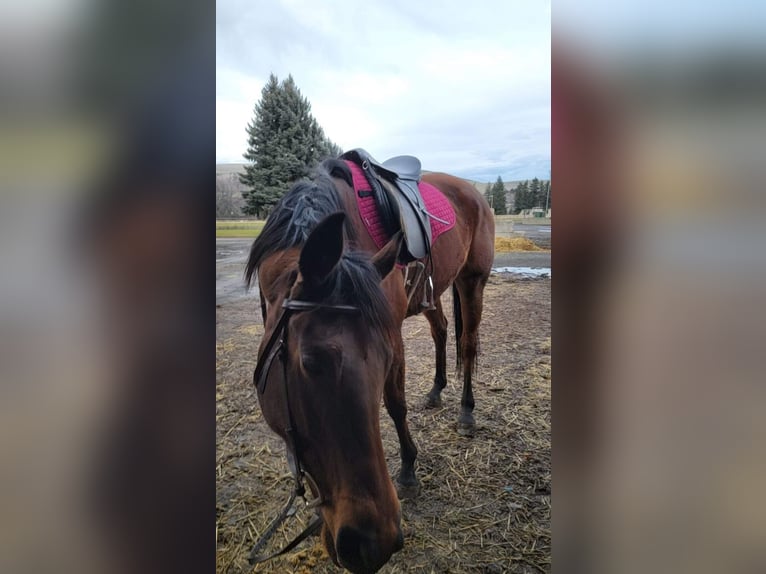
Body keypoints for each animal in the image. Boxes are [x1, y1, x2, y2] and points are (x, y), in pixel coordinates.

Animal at [248, 155, 498, 572]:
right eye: (310, 362)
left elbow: (394, 405)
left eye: (384, 359)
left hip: (472, 280)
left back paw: (466, 412)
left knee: (467, 345)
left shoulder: (393, 334)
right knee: (442, 331)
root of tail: (472, 190)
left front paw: (409, 468)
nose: (372, 542)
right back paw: (436, 390)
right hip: (433, 291)